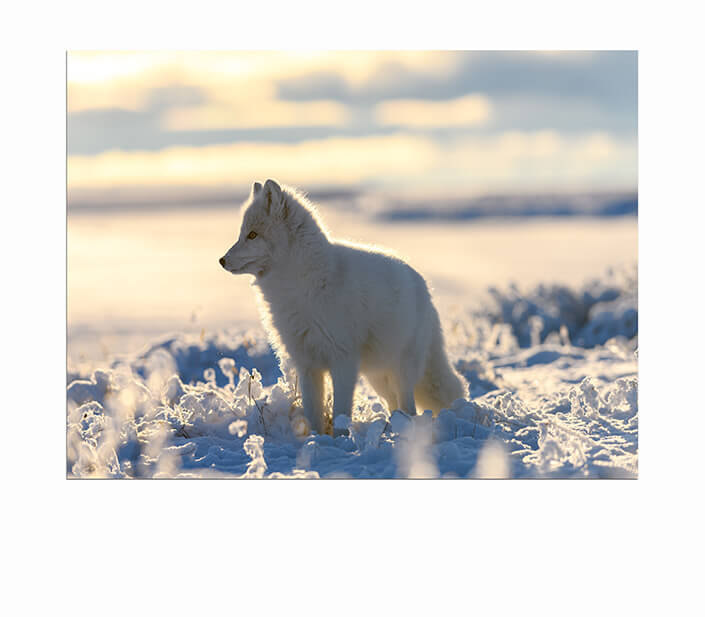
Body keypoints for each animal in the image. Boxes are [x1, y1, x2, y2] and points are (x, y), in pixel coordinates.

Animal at [219, 179, 466, 435]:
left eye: (252, 235)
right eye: (242, 234)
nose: (221, 260)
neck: (303, 285)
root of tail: (424, 285)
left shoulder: (343, 361)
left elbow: (340, 410)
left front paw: (340, 438)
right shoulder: (307, 364)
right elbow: (313, 411)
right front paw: (316, 438)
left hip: (402, 370)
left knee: (409, 405)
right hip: (377, 377)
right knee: (394, 404)